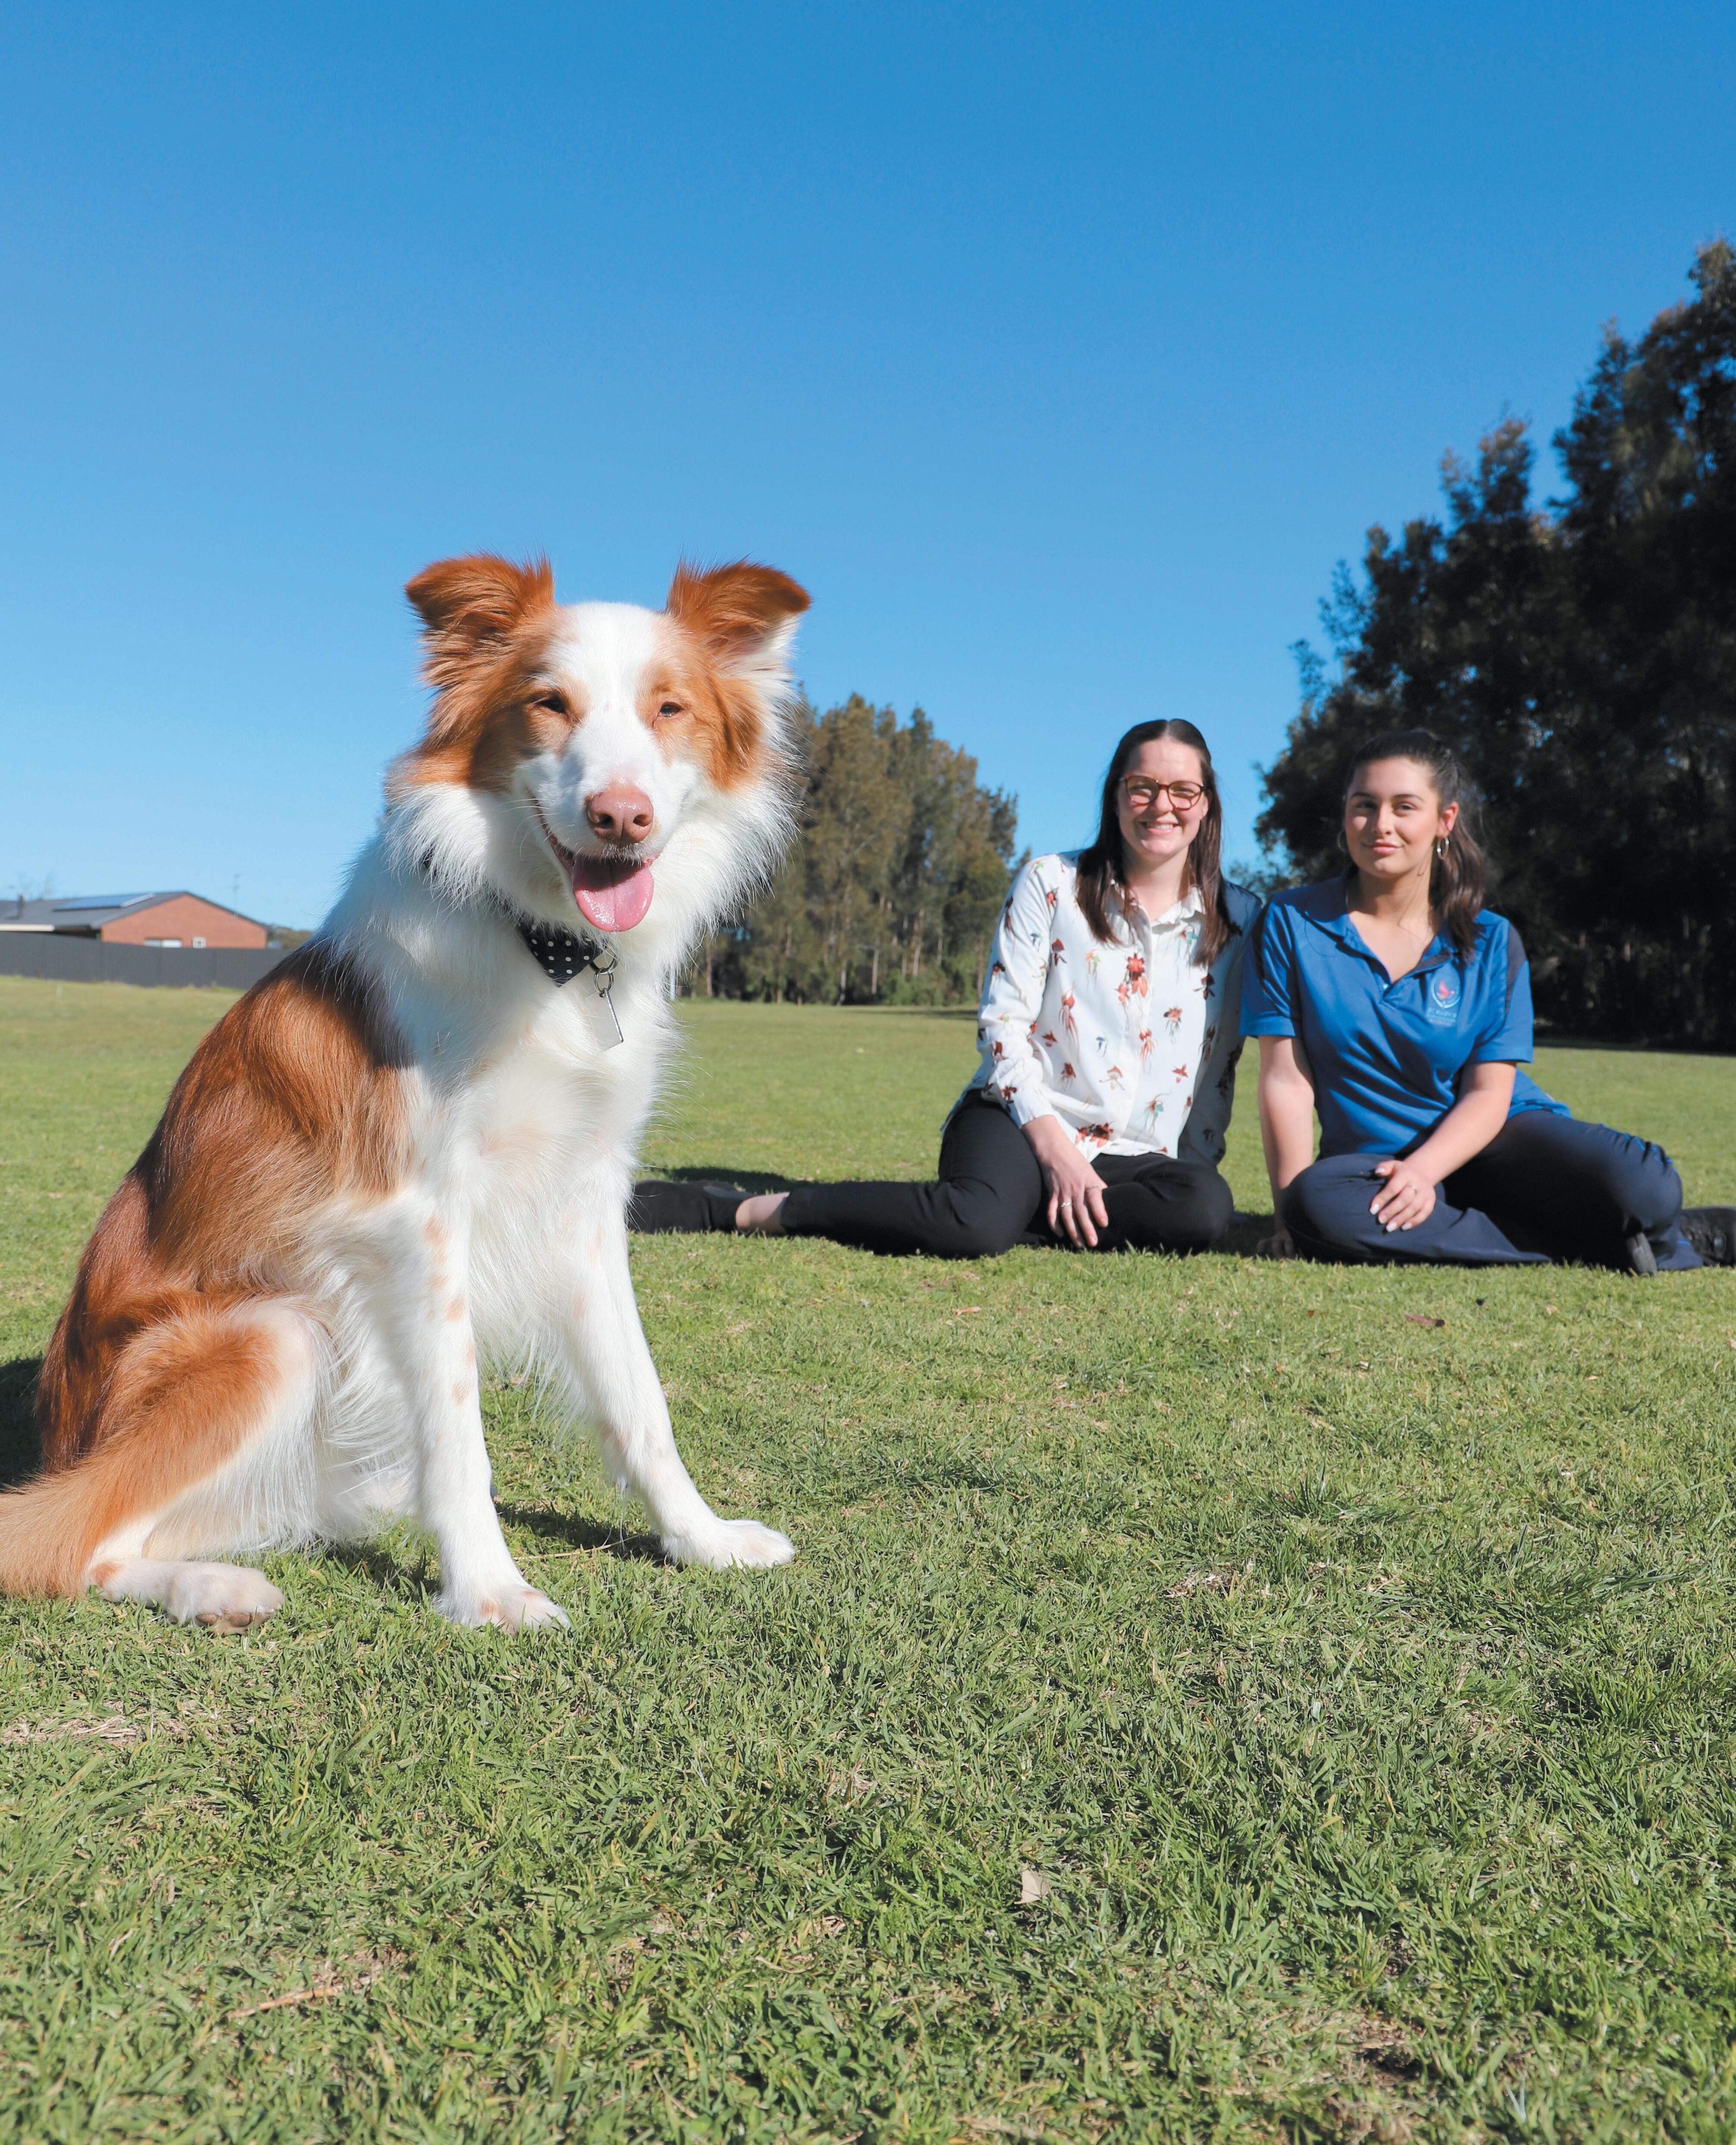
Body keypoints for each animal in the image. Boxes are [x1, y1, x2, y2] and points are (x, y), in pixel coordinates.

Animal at [0, 553, 808, 1631]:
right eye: (549, 704)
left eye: (669, 708)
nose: (621, 816)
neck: (544, 954)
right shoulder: (416, 1218)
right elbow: (457, 1430)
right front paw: (491, 1592)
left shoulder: (586, 1201)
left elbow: (640, 1398)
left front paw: (703, 1541)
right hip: (275, 1336)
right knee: (66, 1540)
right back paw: (216, 1588)